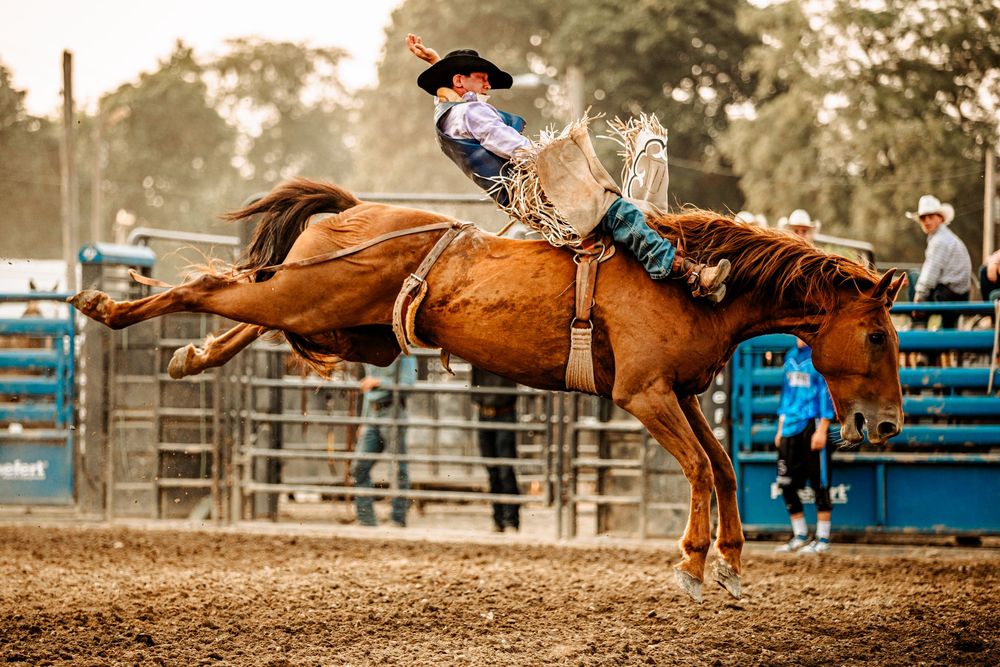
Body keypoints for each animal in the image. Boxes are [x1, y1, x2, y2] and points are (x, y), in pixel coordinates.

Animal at [69, 178, 906, 603]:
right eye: (877, 335)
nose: (890, 423)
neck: (696, 281)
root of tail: (356, 211)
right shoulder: (644, 394)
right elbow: (702, 468)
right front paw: (694, 565)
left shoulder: (685, 394)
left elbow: (725, 467)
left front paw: (731, 562)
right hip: (312, 299)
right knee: (214, 286)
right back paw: (109, 306)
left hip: (344, 325)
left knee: (246, 309)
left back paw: (188, 355)